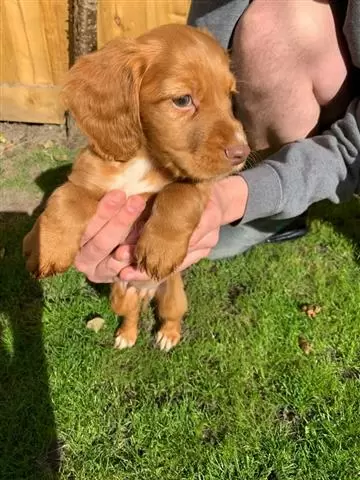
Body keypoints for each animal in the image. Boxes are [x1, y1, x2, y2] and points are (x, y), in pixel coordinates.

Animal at [22, 24, 249, 350]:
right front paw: (45, 245)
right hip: (120, 295)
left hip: (174, 296)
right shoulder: (85, 179)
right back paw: (126, 336)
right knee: (130, 315)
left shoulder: (200, 184)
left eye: (229, 96)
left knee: (171, 316)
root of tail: (146, 291)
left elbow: (179, 194)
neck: (144, 159)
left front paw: (160, 249)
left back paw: (167, 335)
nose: (243, 153)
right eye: (183, 100)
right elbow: (65, 199)